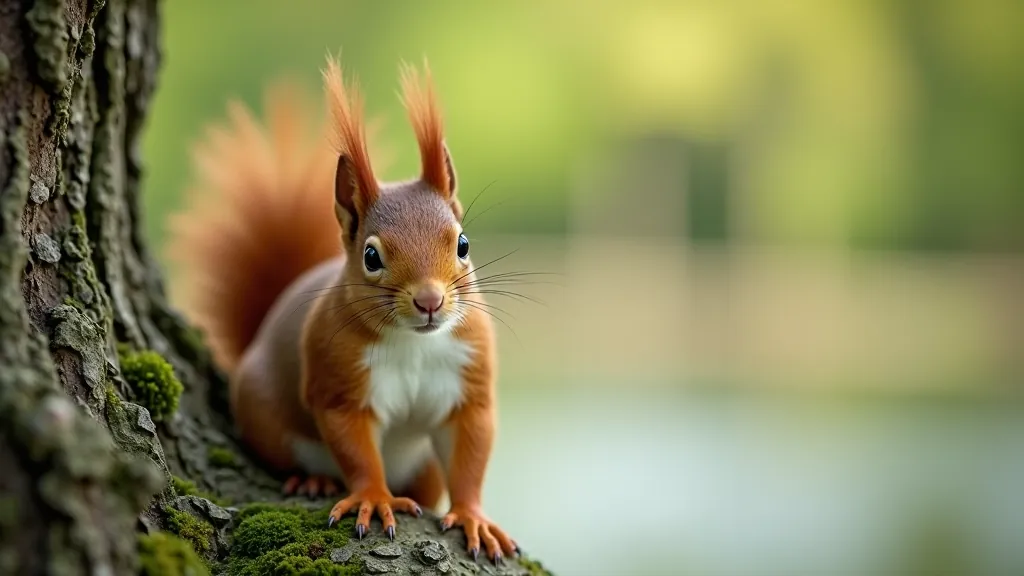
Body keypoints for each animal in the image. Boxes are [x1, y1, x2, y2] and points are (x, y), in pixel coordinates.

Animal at [166, 56, 518, 563]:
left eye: (463, 244)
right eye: (371, 256)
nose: (430, 301)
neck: (414, 343)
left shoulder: (468, 383)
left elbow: (471, 455)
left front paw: (473, 516)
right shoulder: (340, 382)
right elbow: (355, 448)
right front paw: (372, 497)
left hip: (424, 469)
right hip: (269, 421)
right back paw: (312, 479)